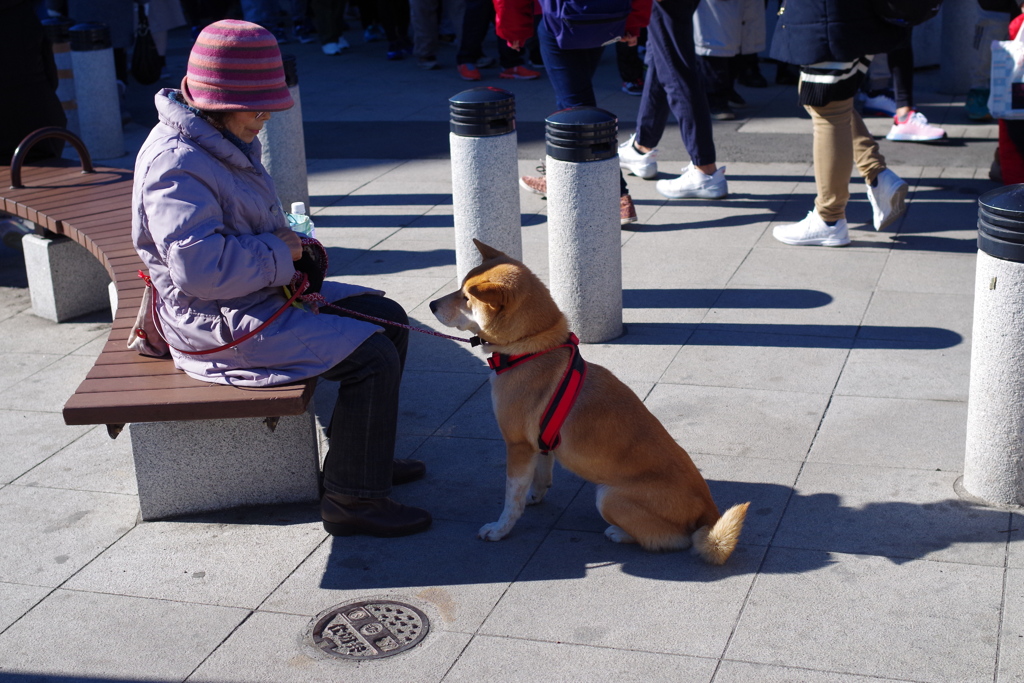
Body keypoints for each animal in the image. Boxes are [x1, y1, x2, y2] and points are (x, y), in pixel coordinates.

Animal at [428, 240, 749, 565]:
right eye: (460, 288)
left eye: (466, 297)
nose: (431, 305)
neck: (531, 348)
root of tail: (708, 510)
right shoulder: (538, 442)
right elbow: (540, 474)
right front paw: (535, 496)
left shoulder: (517, 445)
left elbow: (511, 498)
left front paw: (500, 528)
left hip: (608, 496)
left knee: (670, 539)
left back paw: (619, 533)